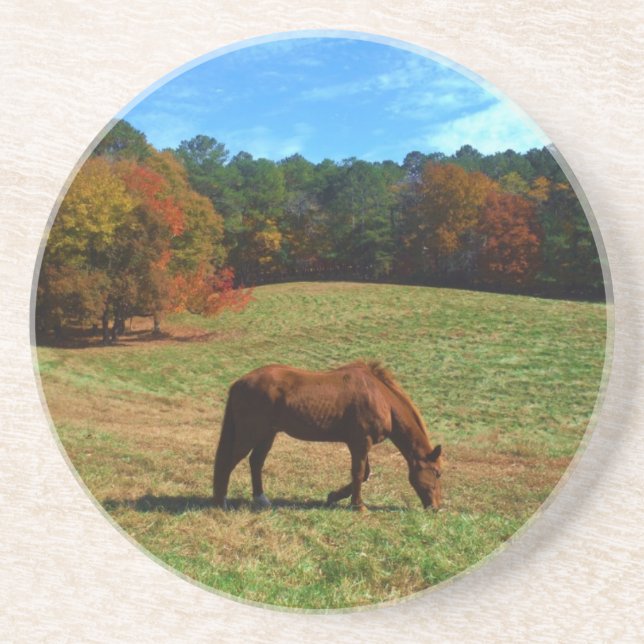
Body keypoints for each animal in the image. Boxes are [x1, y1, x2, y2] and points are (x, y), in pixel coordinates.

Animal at [213, 360, 442, 512]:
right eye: (437, 473)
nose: (436, 508)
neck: (380, 397)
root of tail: (239, 382)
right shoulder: (361, 442)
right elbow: (359, 473)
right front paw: (358, 506)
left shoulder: (360, 443)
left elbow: (365, 473)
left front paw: (333, 497)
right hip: (250, 434)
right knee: (228, 463)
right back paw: (220, 502)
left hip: (267, 434)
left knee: (256, 462)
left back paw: (261, 499)